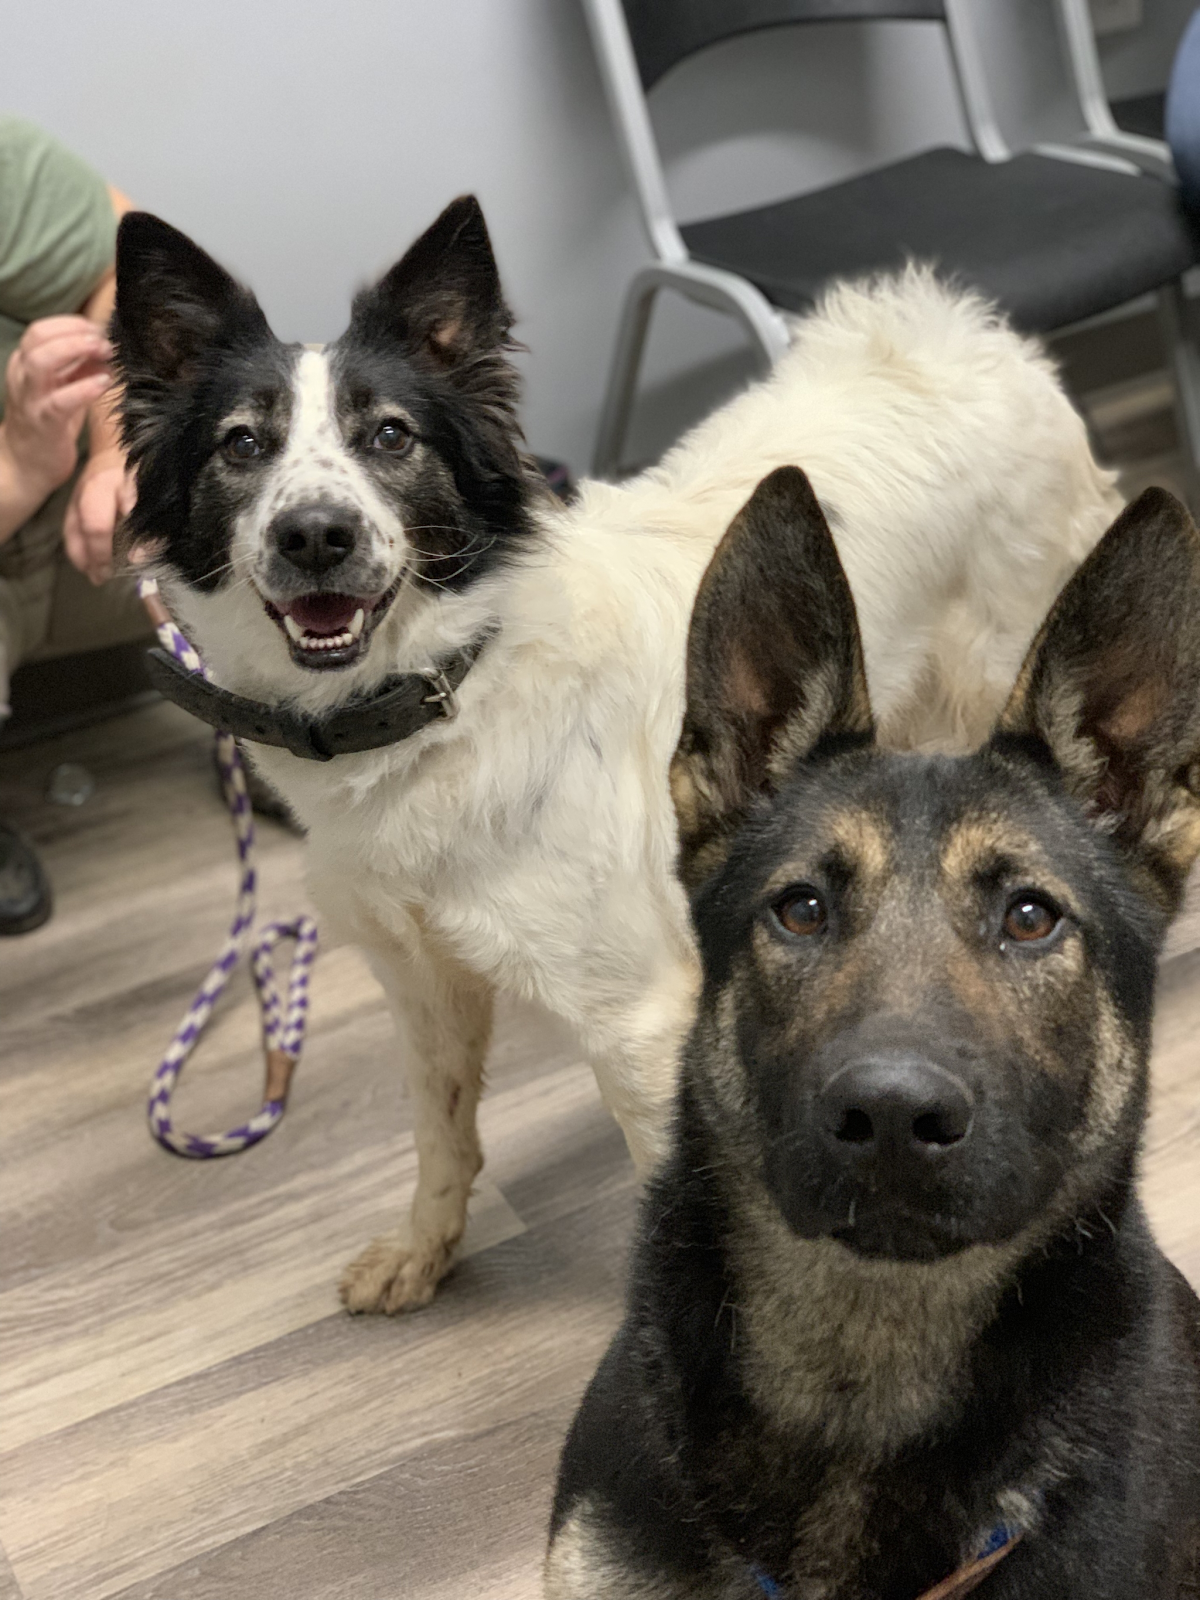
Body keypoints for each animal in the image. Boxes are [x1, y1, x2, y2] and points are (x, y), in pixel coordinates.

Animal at [112, 196, 1120, 1314]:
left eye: (390, 436)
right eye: (242, 445)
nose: (315, 535)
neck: (444, 695)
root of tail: (960, 327)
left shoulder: (635, 1023)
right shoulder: (423, 981)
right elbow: (440, 1134)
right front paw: (425, 1250)